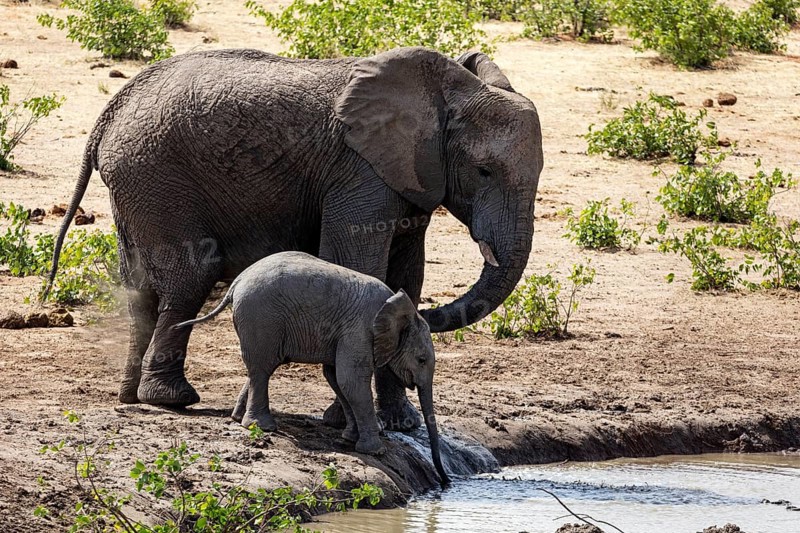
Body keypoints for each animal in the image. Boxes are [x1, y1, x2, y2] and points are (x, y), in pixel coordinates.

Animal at [46, 46, 543, 432]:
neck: (448, 92)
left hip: (135, 185)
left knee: (141, 288)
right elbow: (359, 263)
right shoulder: (361, 172)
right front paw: (343, 420)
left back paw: (131, 396)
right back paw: (171, 399)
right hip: (155, 176)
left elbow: (407, 274)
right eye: (483, 171)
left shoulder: (411, 177)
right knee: (191, 275)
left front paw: (400, 424)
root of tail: (108, 114)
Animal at [173, 251, 450, 486]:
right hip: (261, 318)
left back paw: (239, 419)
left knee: (257, 369)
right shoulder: (360, 330)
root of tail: (236, 282)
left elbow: (336, 377)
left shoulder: (347, 333)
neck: (397, 307)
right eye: (421, 359)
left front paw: (349, 438)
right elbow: (351, 380)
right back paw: (262, 427)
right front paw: (376, 450)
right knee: (262, 369)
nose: (445, 481)